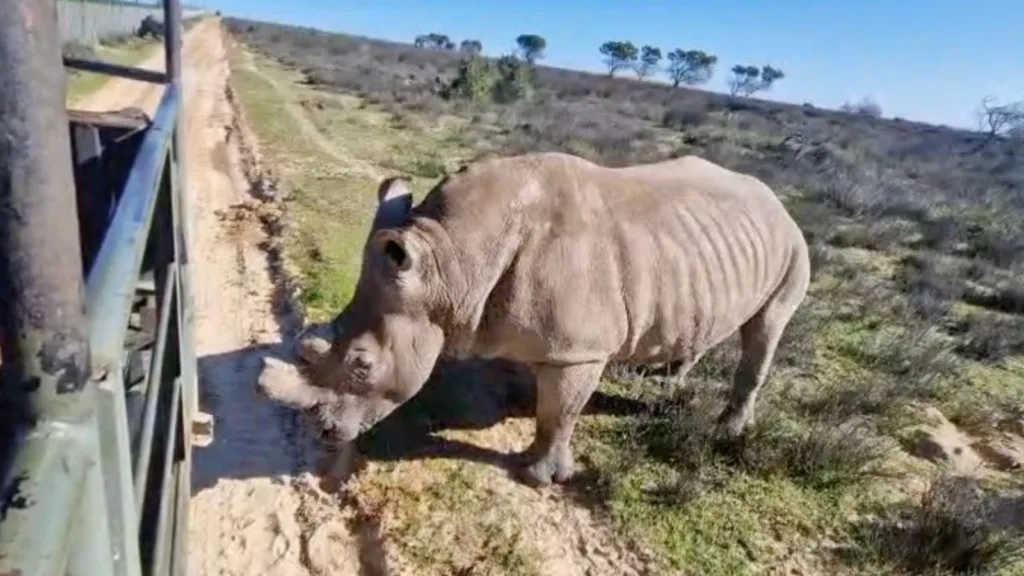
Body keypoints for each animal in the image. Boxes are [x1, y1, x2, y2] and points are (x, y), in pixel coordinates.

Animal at [259, 151, 811, 487]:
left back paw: (727, 432)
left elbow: (559, 411)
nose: (324, 432)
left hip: (792, 247)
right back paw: (668, 380)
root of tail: (776, 200)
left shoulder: (580, 349)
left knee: (766, 328)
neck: (449, 259)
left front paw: (538, 477)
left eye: (362, 365)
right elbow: (547, 397)